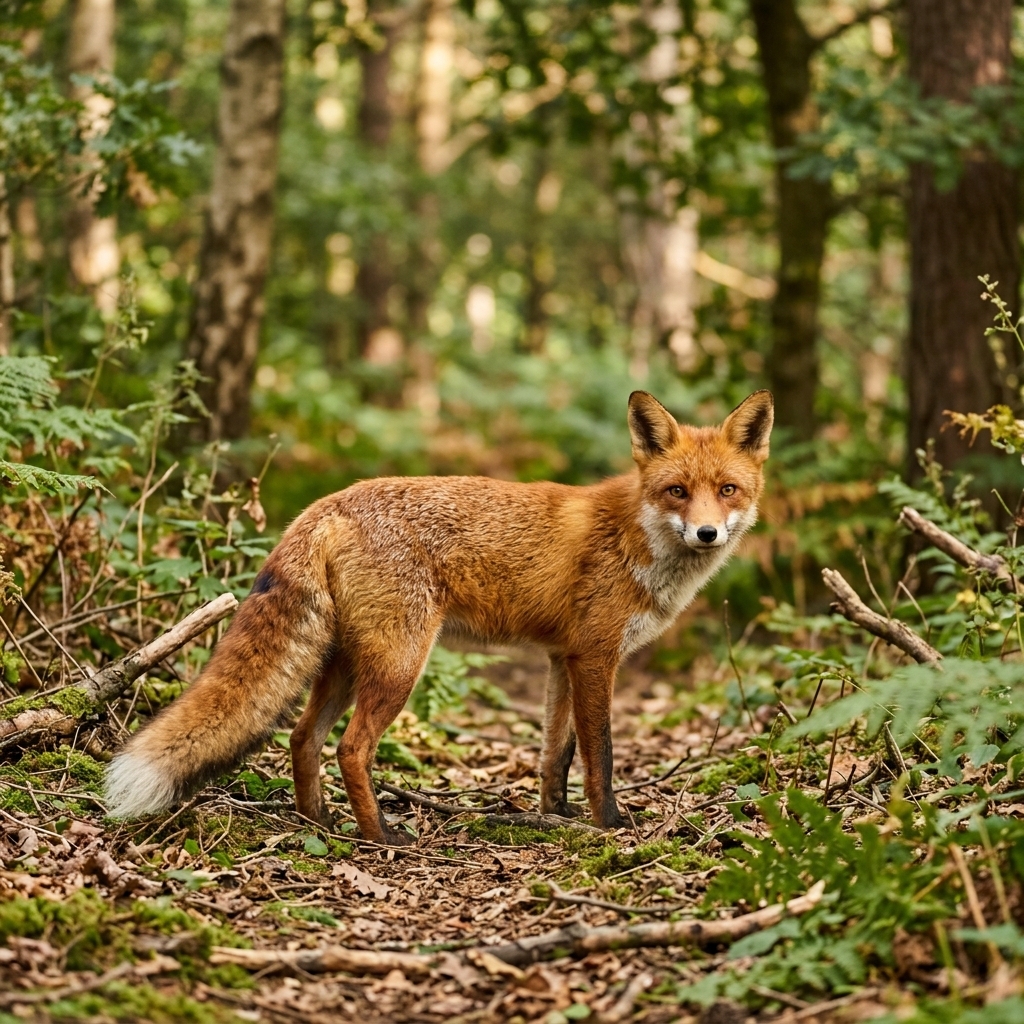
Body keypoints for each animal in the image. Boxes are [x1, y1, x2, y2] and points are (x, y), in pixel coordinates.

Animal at [105, 389, 773, 845]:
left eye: (728, 490)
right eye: (677, 491)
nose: (708, 533)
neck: (637, 539)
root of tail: (326, 504)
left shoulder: (562, 658)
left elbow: (555, 753)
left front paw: (554, 815)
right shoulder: (595, 657)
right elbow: (601, 755)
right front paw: (607, 823)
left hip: (346, 662)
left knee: (302, 737)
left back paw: (318, 823)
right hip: (400, 664)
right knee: (350, 747)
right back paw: (379, 836)